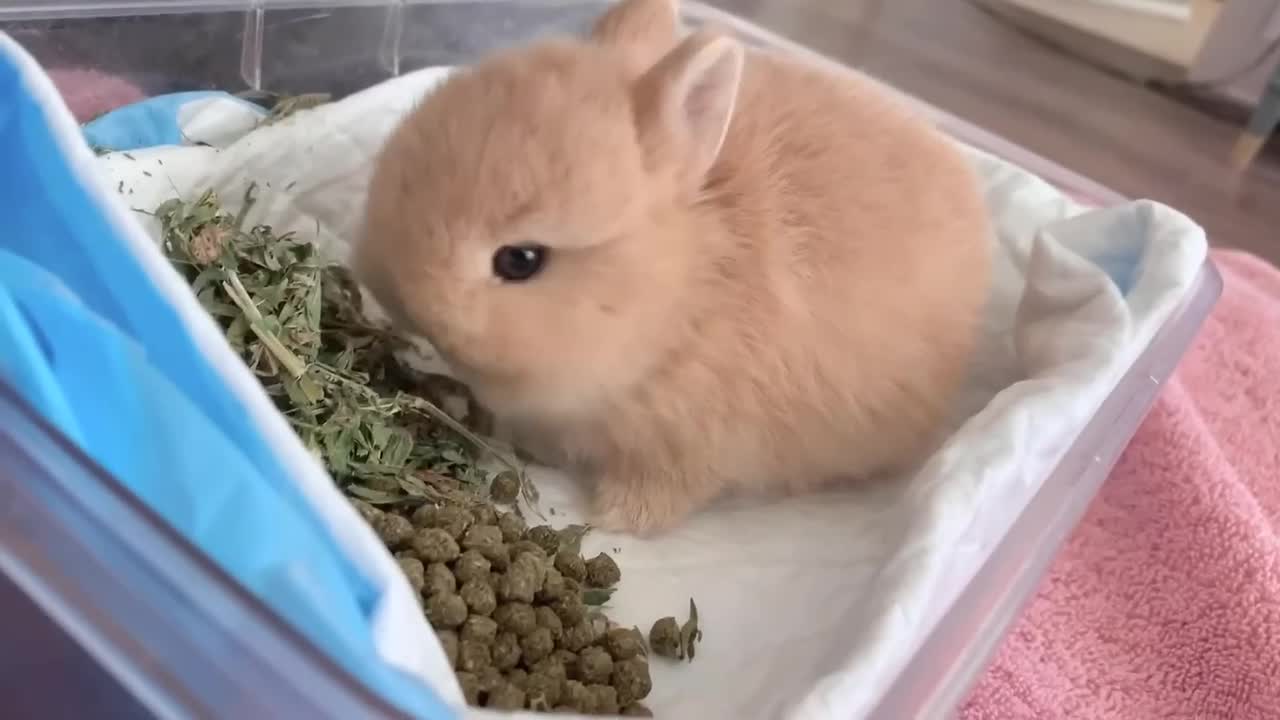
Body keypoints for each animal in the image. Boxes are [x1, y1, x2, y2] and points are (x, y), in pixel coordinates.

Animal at [355, 0, 993, 532]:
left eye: (520, 260)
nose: (397, 297)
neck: (681, 293)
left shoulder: (695, 445)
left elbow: (667, 489)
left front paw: (618, 517)